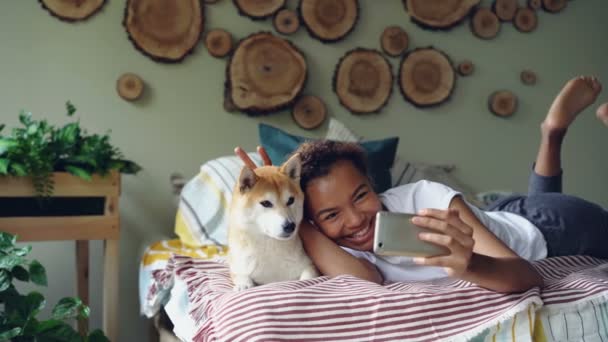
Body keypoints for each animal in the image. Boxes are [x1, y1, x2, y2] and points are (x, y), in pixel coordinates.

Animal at [227, 154, 318, 290]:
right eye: (266, 203)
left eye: (290, 200)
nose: (290, 226)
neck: (270, 245)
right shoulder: (237, 266)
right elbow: (241, 275)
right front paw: (244, 285)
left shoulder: (310, 265)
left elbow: (308, 276)